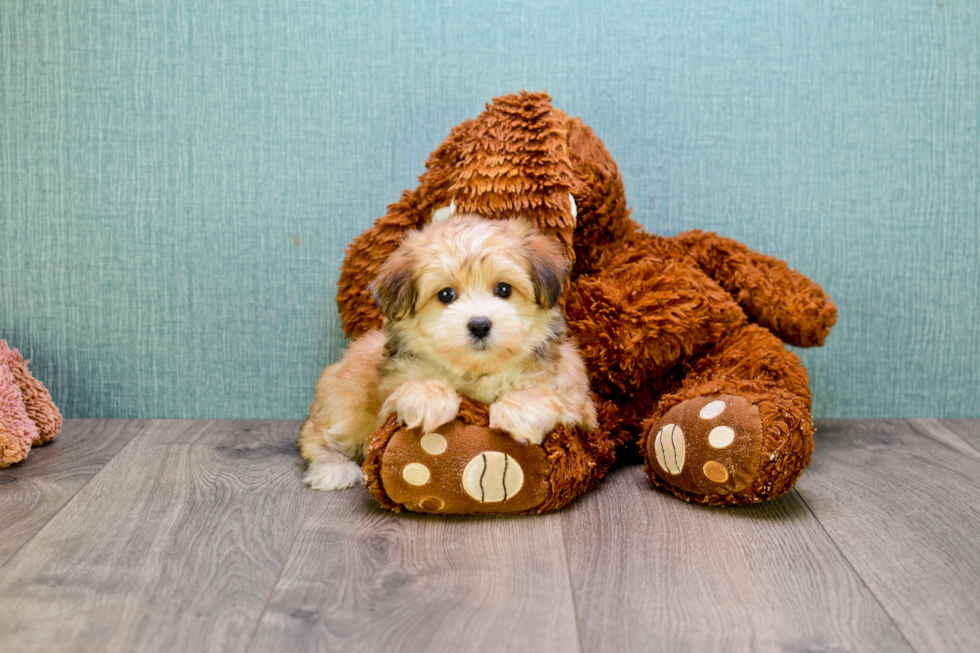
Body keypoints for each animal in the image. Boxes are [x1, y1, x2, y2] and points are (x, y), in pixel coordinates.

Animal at [294, 214, 596, 488]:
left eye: (503, 289)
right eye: (446, 295)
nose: (479, 325)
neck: (476, 373)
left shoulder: (578, 399)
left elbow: (546, 390)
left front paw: (521, 408)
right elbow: (416, 382)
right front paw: (428, 397)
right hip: (345, 403)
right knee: (317, 436)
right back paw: (333, 468)